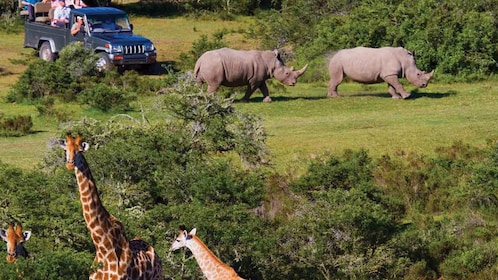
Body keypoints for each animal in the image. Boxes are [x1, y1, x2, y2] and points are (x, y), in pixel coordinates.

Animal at [58, 133, 161, 280]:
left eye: (79, 151)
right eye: (66, 150)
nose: (70, 165)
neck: (103, 248)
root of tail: (157, 256)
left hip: (158, 277)